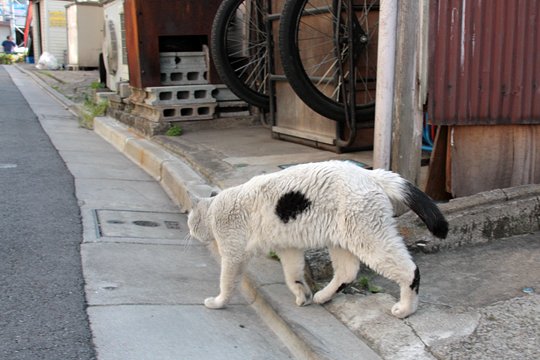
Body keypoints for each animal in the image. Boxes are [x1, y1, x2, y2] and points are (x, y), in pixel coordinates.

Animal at [188, 160, 450, 318]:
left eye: (190, 222)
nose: (189, 231)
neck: (214, 209)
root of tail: (369, 173)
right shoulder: (289, 249)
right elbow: (292, 275)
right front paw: (301, 294)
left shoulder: (233, 254)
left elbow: (227, 281)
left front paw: (217, 302)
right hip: (343, 240)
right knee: (347, 273)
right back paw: (322, 296)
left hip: (369, 237)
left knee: (409, 271)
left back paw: (406, 309)